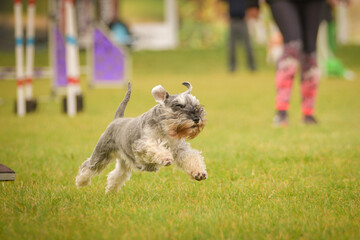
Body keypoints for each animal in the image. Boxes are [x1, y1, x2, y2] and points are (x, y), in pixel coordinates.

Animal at [74, 81, 207, 193]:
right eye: (179, 105)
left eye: (196, 104)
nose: (197, 119)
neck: (166, 129)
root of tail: (117, 119)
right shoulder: (142, 144)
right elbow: (155, 147)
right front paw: (165, 157)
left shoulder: (180, 149)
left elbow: (191, 157)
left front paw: (199, 172)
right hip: (101, 153)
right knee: (88, 167)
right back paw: (80, 182)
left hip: (124, 162)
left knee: (116, 175)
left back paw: (111, 191)